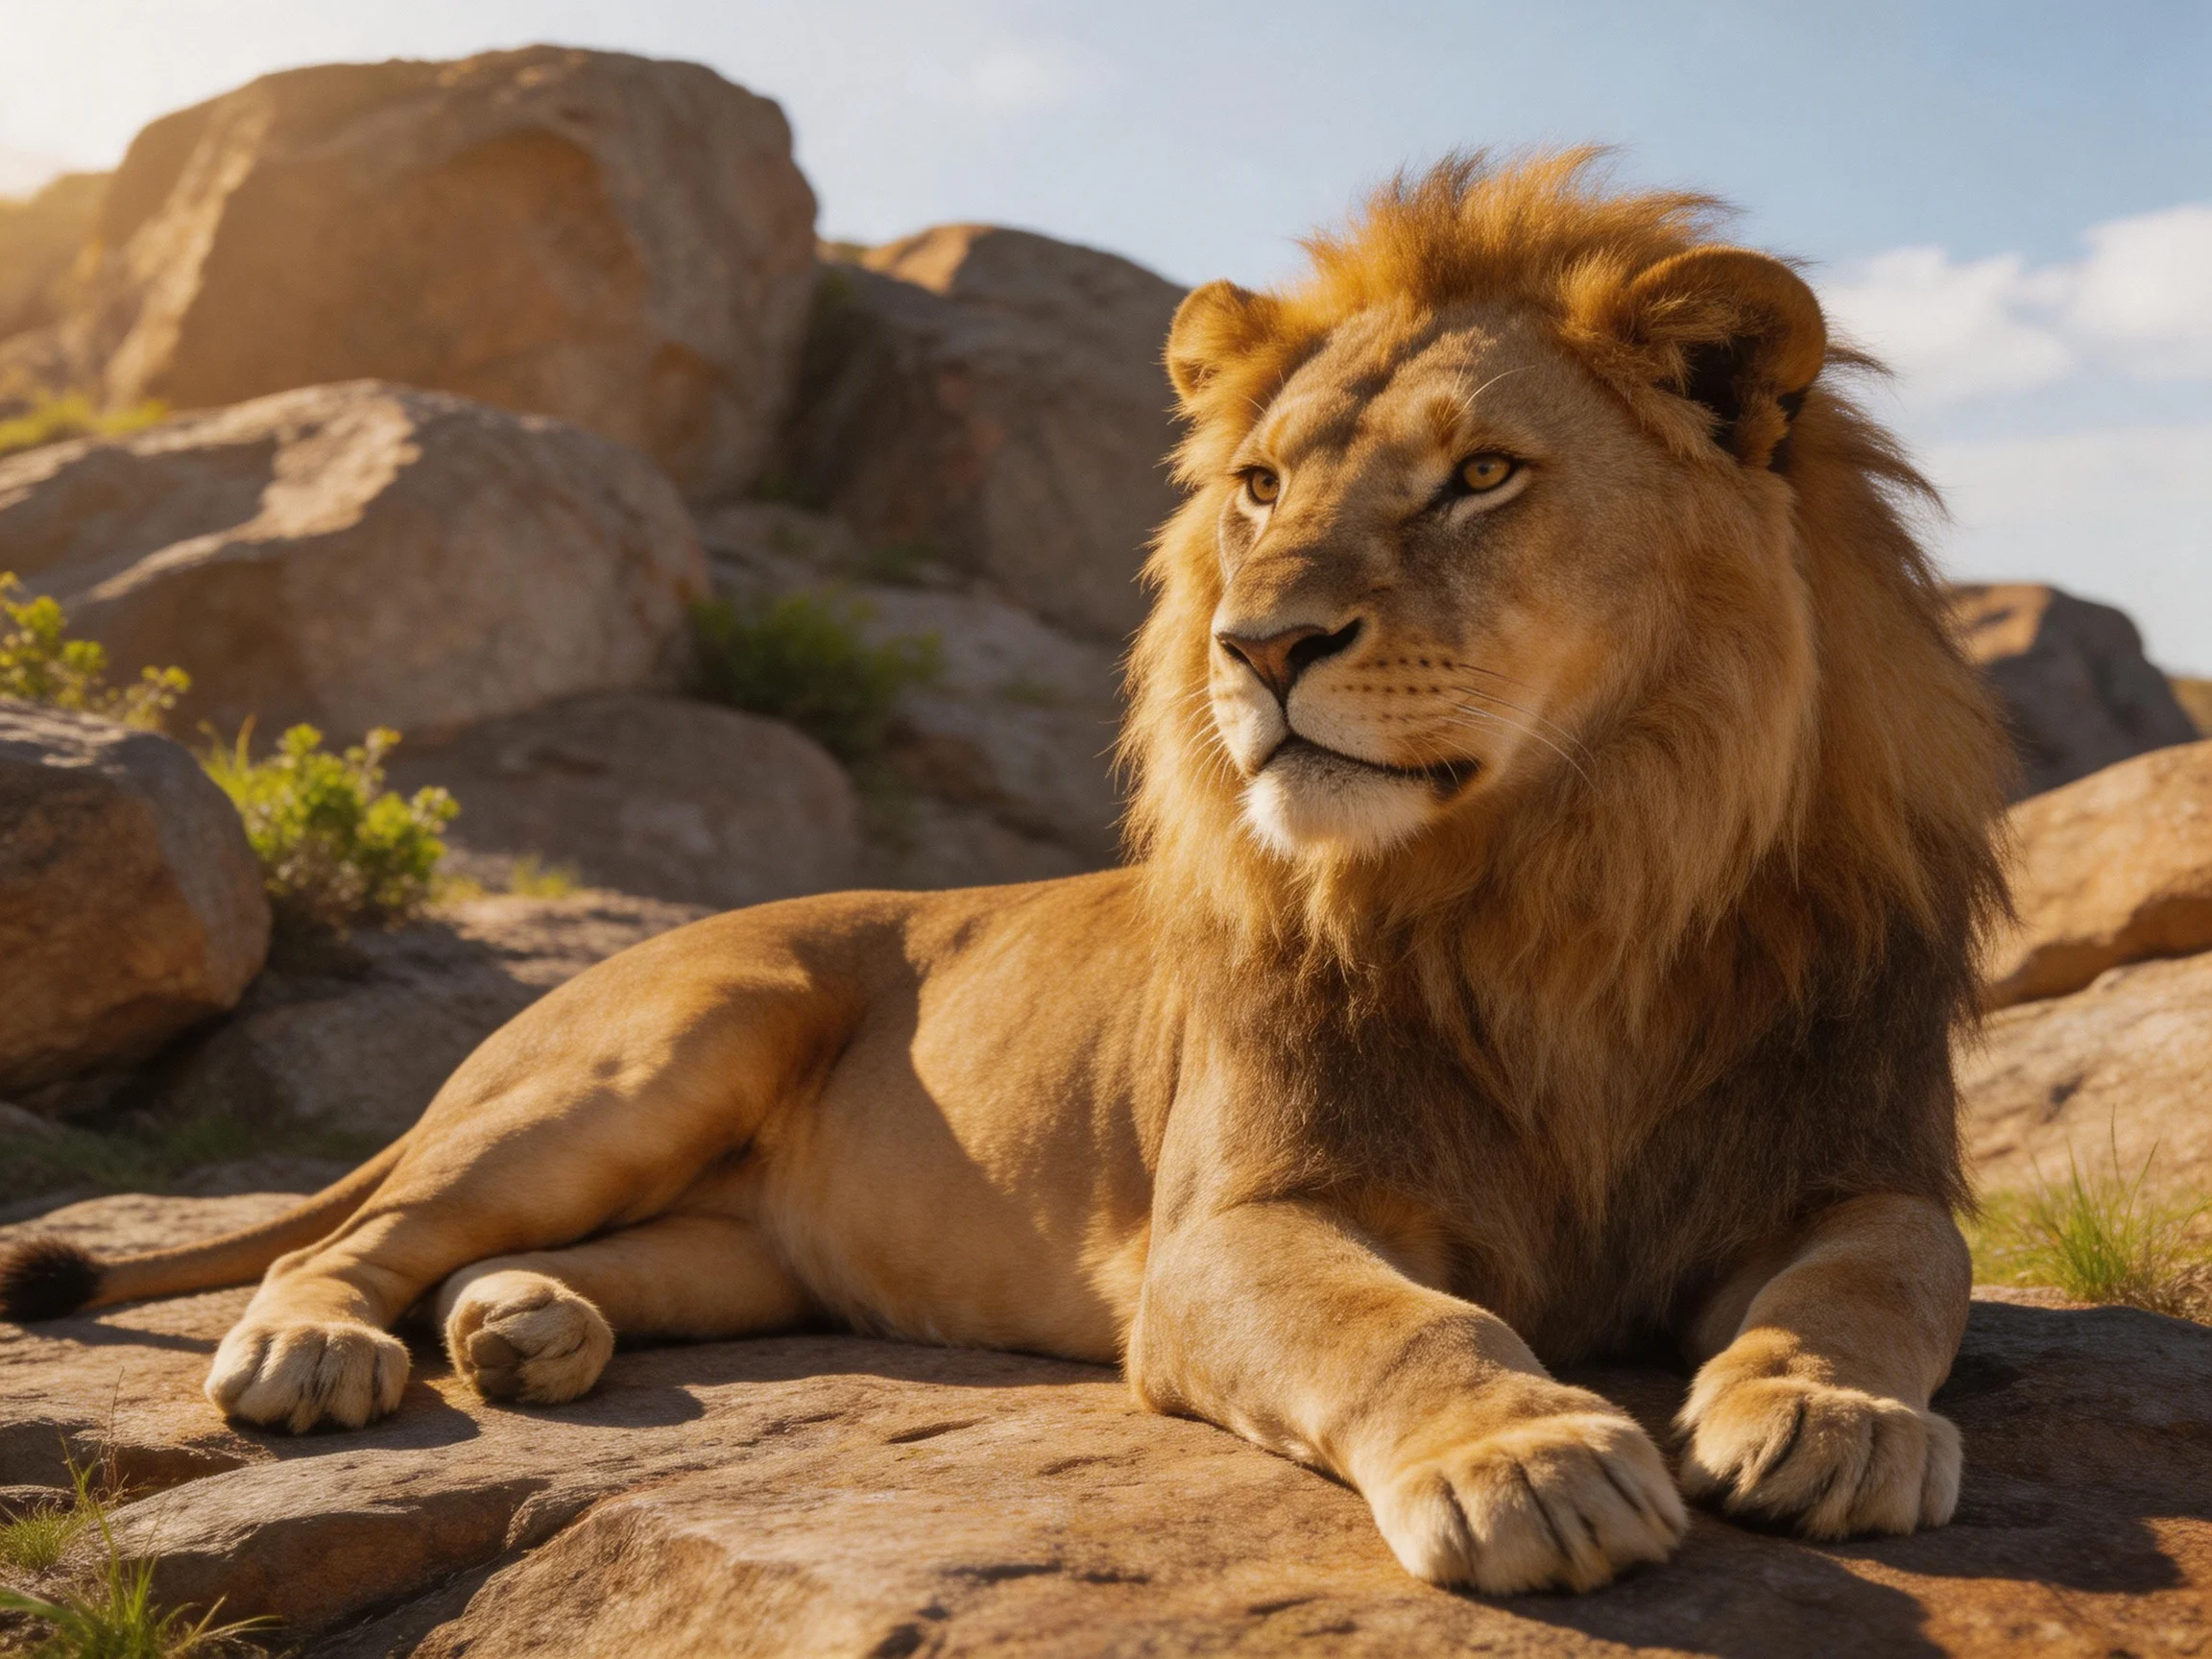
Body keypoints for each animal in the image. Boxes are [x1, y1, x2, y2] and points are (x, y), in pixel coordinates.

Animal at [0, 152, 2008, 1595]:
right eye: (1260, 486)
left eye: (1481, 477)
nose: (1258, 646)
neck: (1563, 883)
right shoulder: (1228, 1231)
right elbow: (1405, 1319)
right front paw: (1528, 1457)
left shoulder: (1853, 1155)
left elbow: (1885, 1279)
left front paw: (1822, 1416)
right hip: (666, 1038)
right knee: (351, 1232)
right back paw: (312, 1352)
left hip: (741, 1242)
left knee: (537, 1261)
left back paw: (525, 1325)